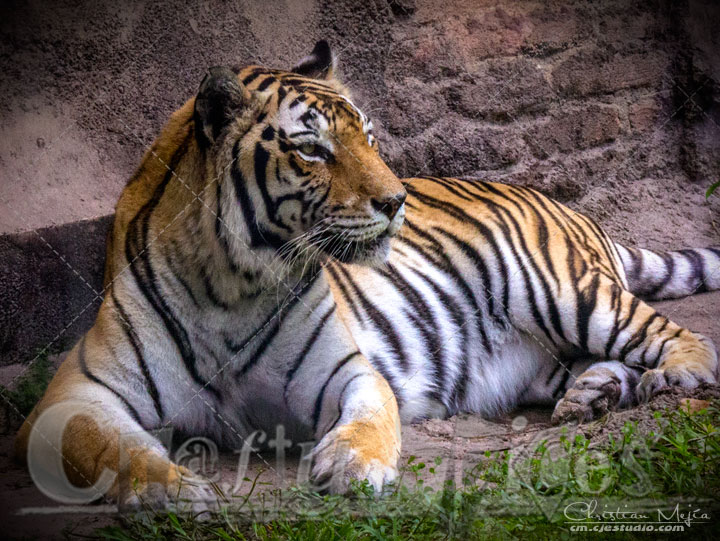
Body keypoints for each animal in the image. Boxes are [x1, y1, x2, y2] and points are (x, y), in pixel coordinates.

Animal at [16, 40, 719, 510]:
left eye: (371, 138)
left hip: (564, 291)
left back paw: (678, 375)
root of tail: (567, 205)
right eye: (311, 149)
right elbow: (106, 446)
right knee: (598, 364)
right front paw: (169, 490)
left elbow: (371, 417)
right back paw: (592, 395)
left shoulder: (347, 369)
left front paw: (354, 467)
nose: (396, 200)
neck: (230, 288)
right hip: (543, 355)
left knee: (675, 334)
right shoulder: (71, 398)